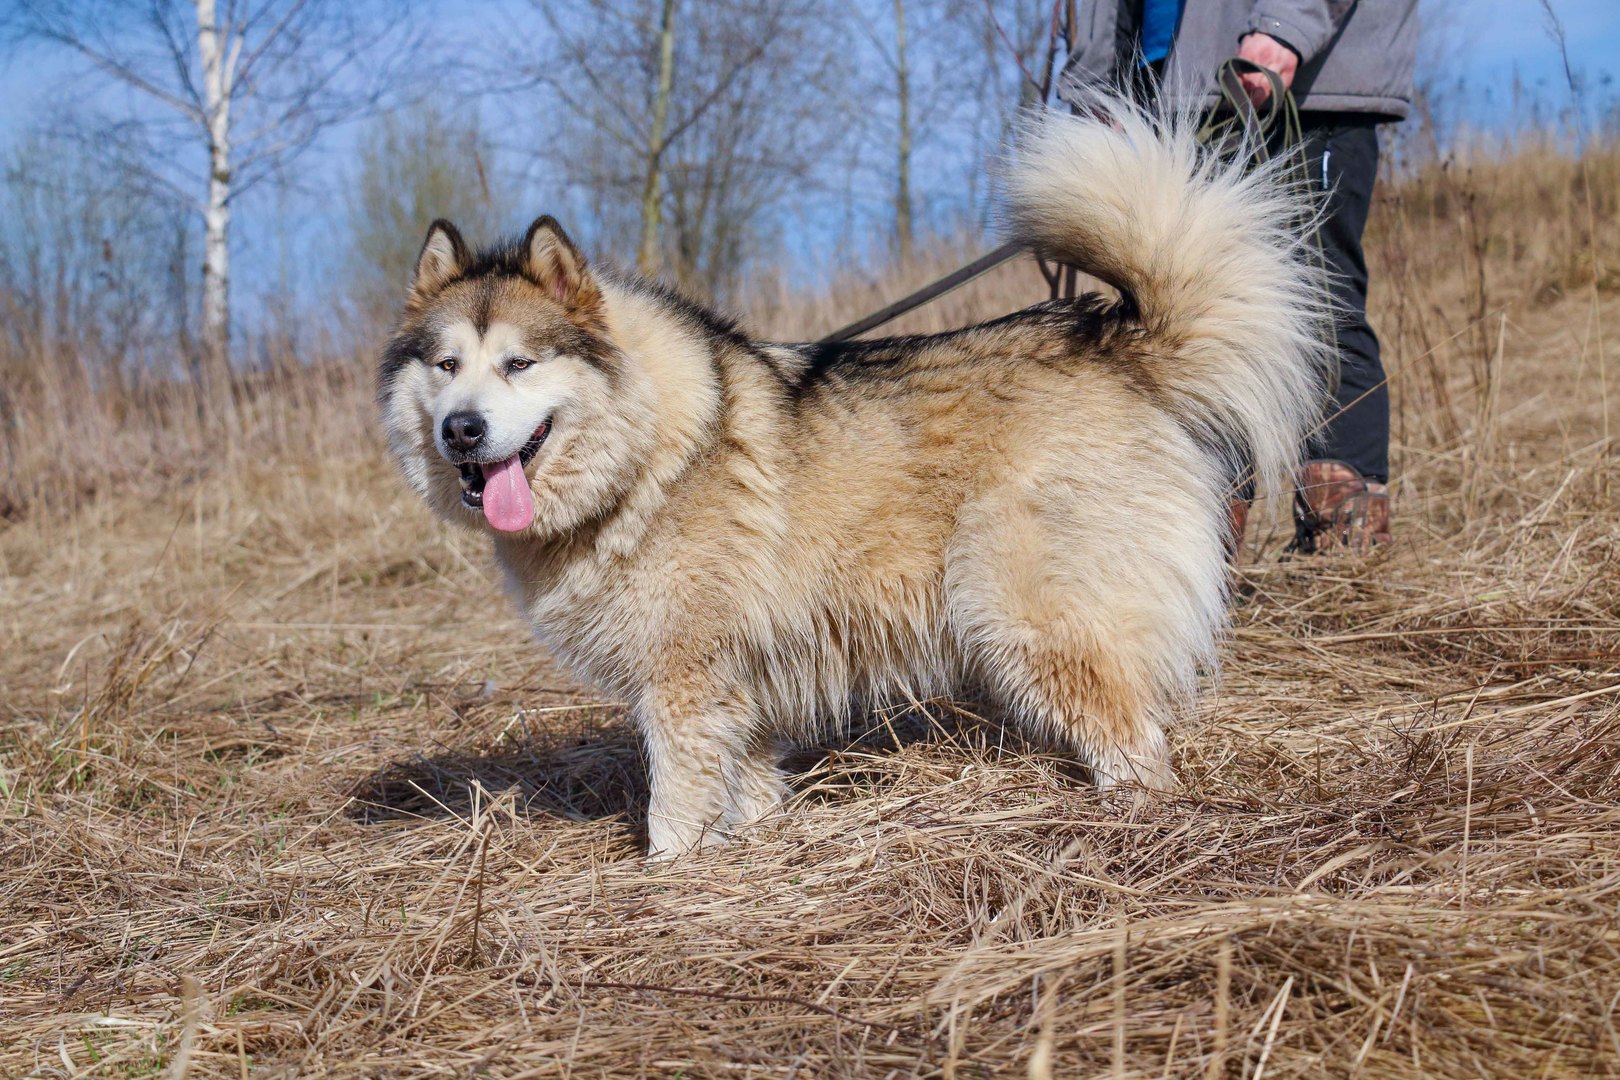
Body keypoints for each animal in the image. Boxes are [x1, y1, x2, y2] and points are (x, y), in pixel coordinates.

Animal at [379, 101, 1328, 861]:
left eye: (520, 364)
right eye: (446, 365)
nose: (462, 430)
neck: (649, 450)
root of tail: (1114, 344)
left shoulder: (683, 686)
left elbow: (674, 810)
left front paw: (665, 881)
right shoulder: (738, 694)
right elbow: (751, 791)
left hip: (1033, 625)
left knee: (1137, 748)